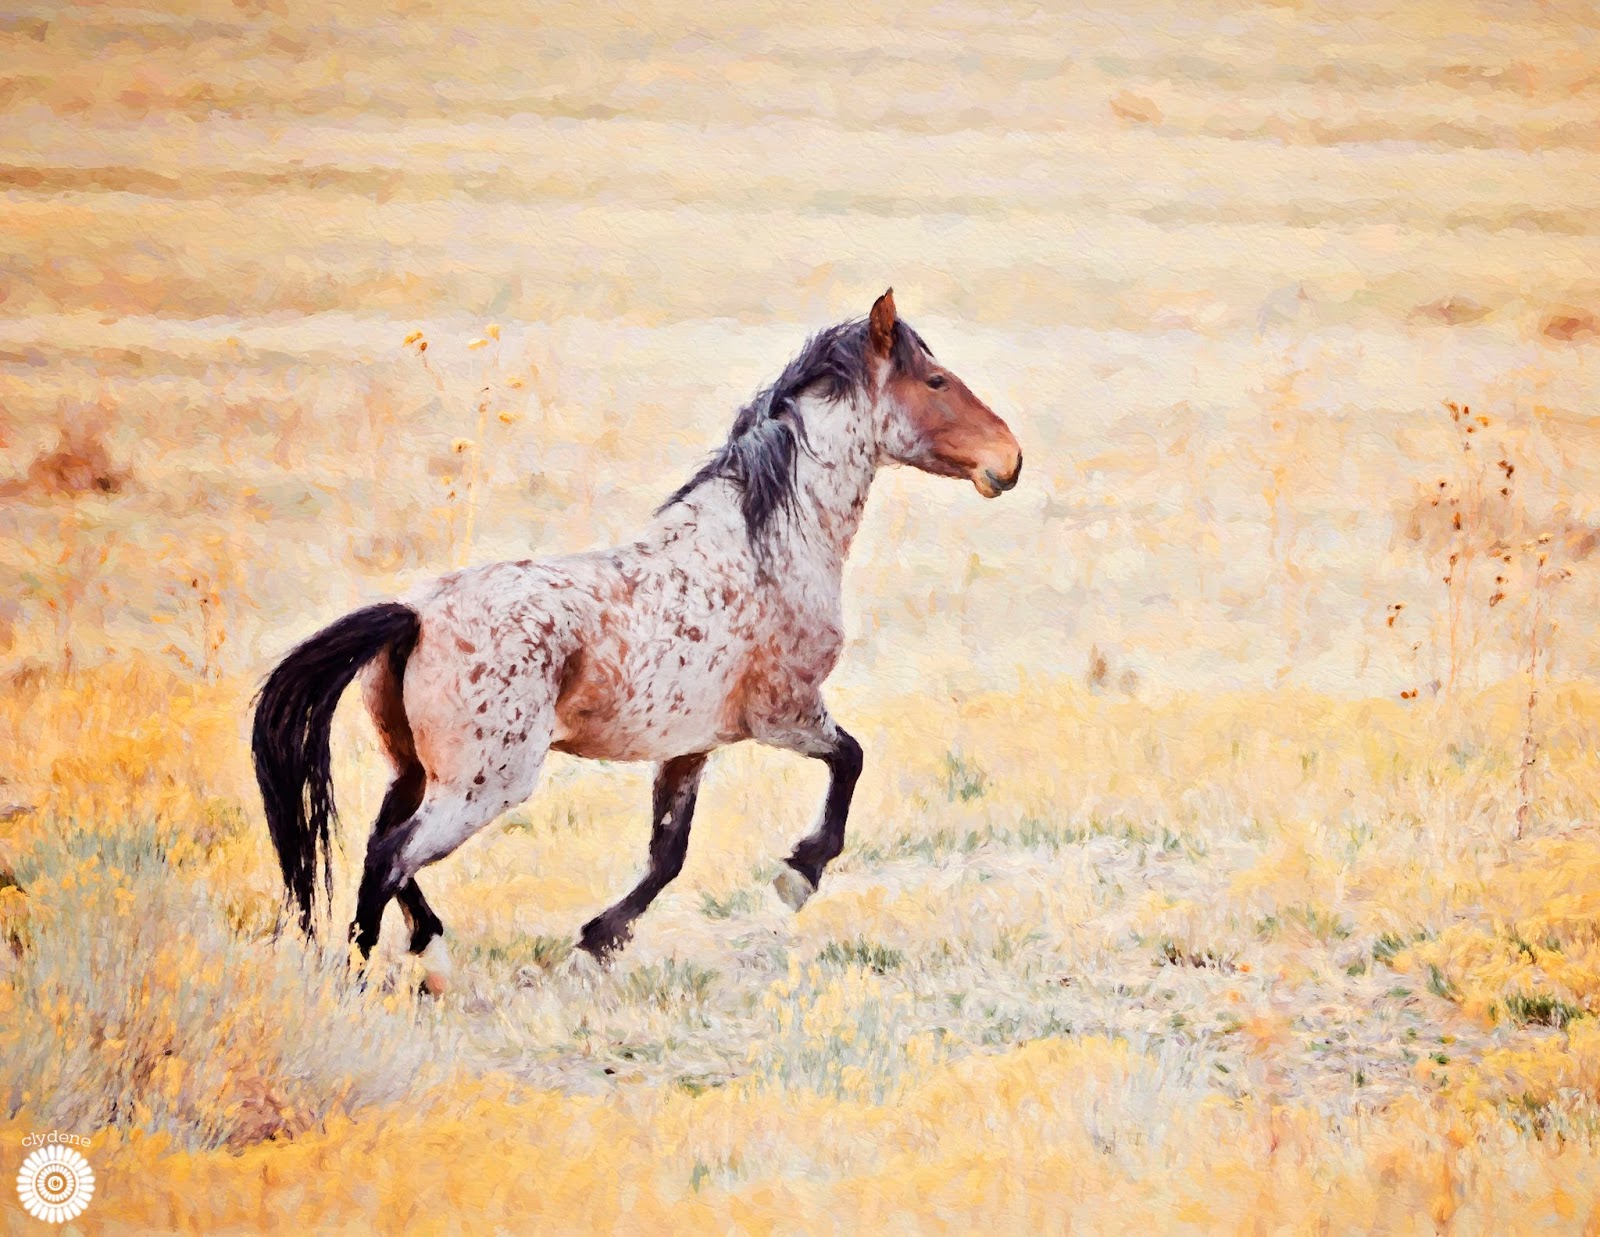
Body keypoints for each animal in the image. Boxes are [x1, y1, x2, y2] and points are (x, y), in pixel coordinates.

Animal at [252, 289, 1022, 994]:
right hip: (483, 785)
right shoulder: (786, 715)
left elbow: (667, 855)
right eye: (936, 382)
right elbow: (850, 761)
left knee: (381, 843)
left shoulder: (689, 747)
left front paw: (596, 943)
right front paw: (797, 875)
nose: (1009, 459)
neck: (761, 547)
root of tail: (413, 615)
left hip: (415, 770)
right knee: (389, 857)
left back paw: (430, 955)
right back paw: (362, 978)